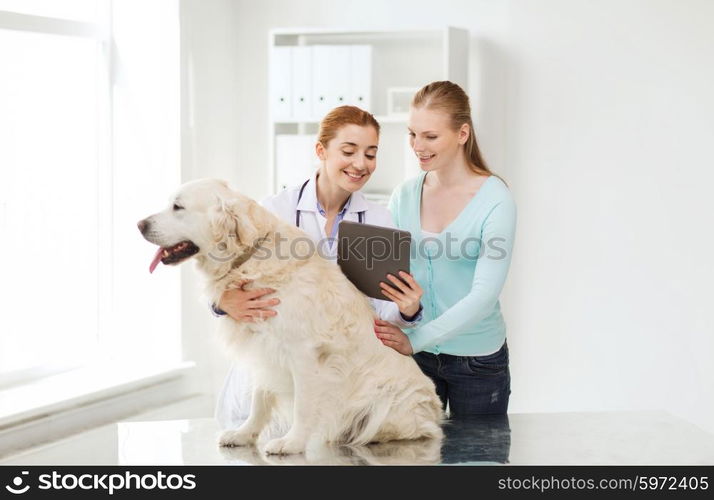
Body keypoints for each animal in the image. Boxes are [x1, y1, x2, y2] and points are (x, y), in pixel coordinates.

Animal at [137, 178, 442, 456]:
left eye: (178, 206)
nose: (139, 224)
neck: (249, 258)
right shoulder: (264, 348)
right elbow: (258, 401)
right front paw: (245, 434)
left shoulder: (304, 353)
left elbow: (303, 406)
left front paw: (292, 442)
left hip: (389, 400)